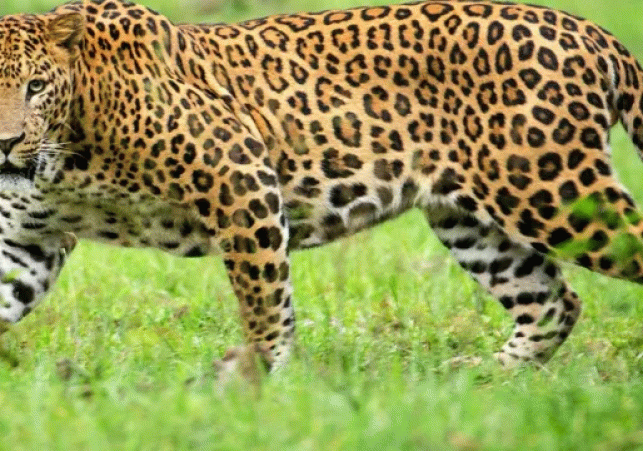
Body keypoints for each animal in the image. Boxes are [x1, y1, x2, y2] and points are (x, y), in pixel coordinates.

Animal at [1, 0, 643, 371]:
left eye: (36, 86)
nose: (5, 143)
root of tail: (591, 31)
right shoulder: (28, 241)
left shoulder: (240, 176)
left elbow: (264, 299)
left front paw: (260, 383)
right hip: (471, 220)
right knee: (554, 302)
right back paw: (484, 378)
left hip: (554, 191)